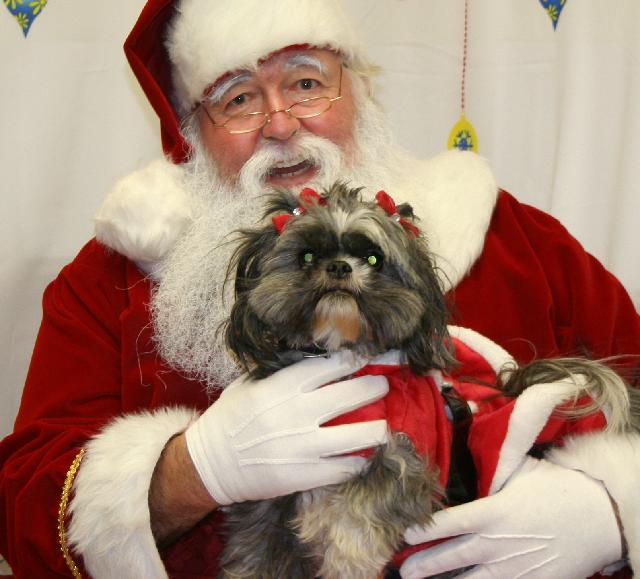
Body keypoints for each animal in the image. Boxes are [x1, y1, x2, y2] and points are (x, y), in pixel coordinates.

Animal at [216, 184, 640, 576]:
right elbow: (257, 552)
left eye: (374, 258)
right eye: (306, 256)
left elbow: (358, 519)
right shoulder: (273, 494)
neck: (347, 362)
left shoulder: (404, 459)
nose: (339, 267)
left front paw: (343, 555)